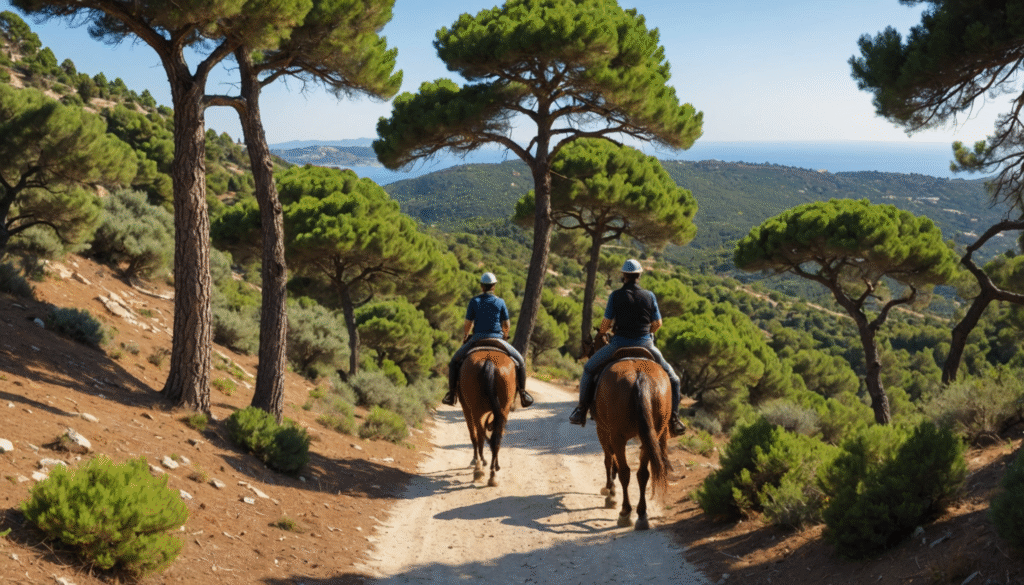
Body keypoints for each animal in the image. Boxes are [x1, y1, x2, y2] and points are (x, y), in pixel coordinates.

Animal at [457, 339, 518, 487]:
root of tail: (489, 361)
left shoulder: (466, 408)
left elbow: (473, 435)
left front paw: (476, 460)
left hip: (476, 410)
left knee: (478, 435)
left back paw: (479, 468)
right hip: (503, 410)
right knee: (496, 438)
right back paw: (493, 474)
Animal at [587, 333, 673, 530]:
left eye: (594, 343)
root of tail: (639, 376)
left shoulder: (603, 430)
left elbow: (609, 460)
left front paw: (610, 491)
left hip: (618, 436)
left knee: (625, 472)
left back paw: (625, 512)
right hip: (652, 434)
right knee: (643, 474)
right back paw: (641, 515)